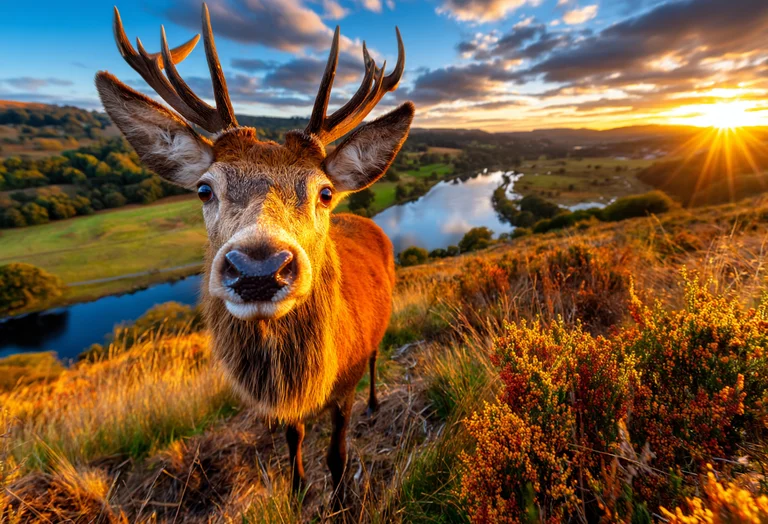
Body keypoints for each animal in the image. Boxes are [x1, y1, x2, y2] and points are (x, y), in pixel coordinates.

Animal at [95, 3, 412, 508]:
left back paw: (377, 402)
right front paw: (299, 490)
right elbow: (294, 438)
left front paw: (341, 498)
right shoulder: (281, 406)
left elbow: (338, 452)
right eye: (204, 189)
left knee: (378, 356)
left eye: (324, 192)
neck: (301, 379)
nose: (259, 268)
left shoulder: (344, 382)